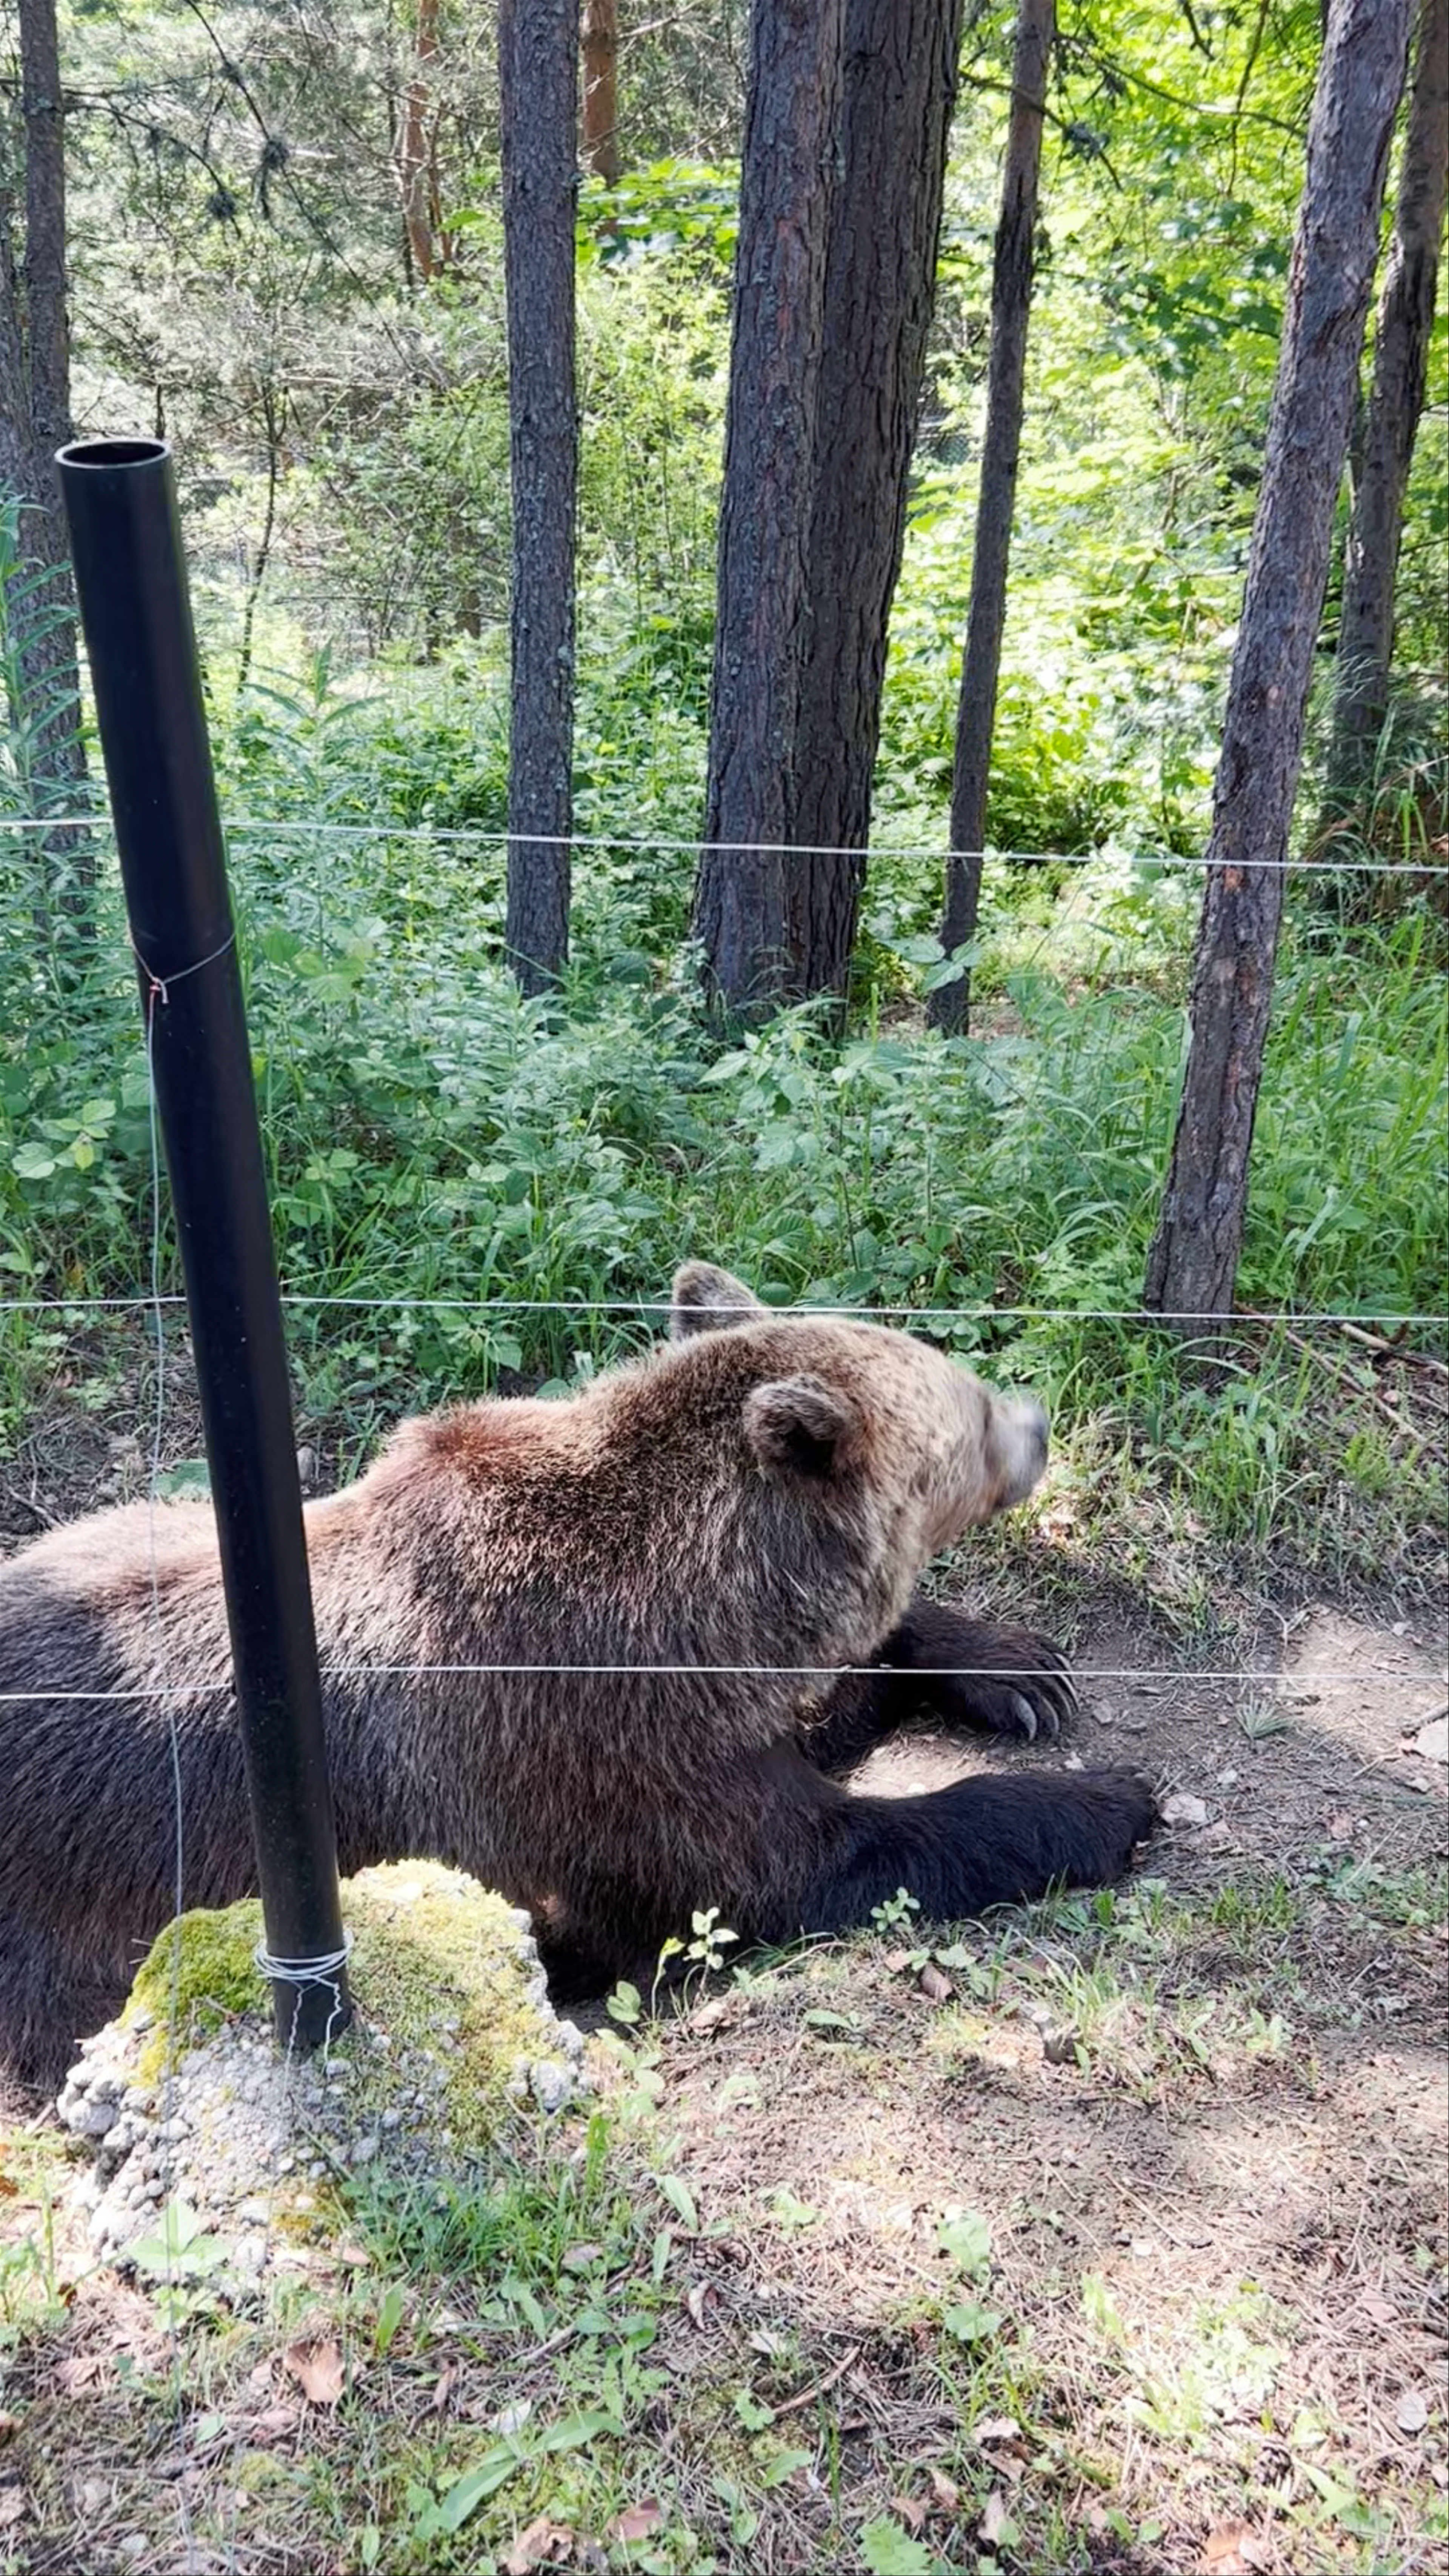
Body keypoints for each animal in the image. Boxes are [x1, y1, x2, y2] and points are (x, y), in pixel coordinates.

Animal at [0, 1262, 1153, 2089]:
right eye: (970, 1407)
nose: (1037, 1420)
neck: (687, 1610)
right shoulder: (587, 1740)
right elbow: (802, 1860)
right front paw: (1106, 1799)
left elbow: (834, 1701)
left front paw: (1020, 1670)